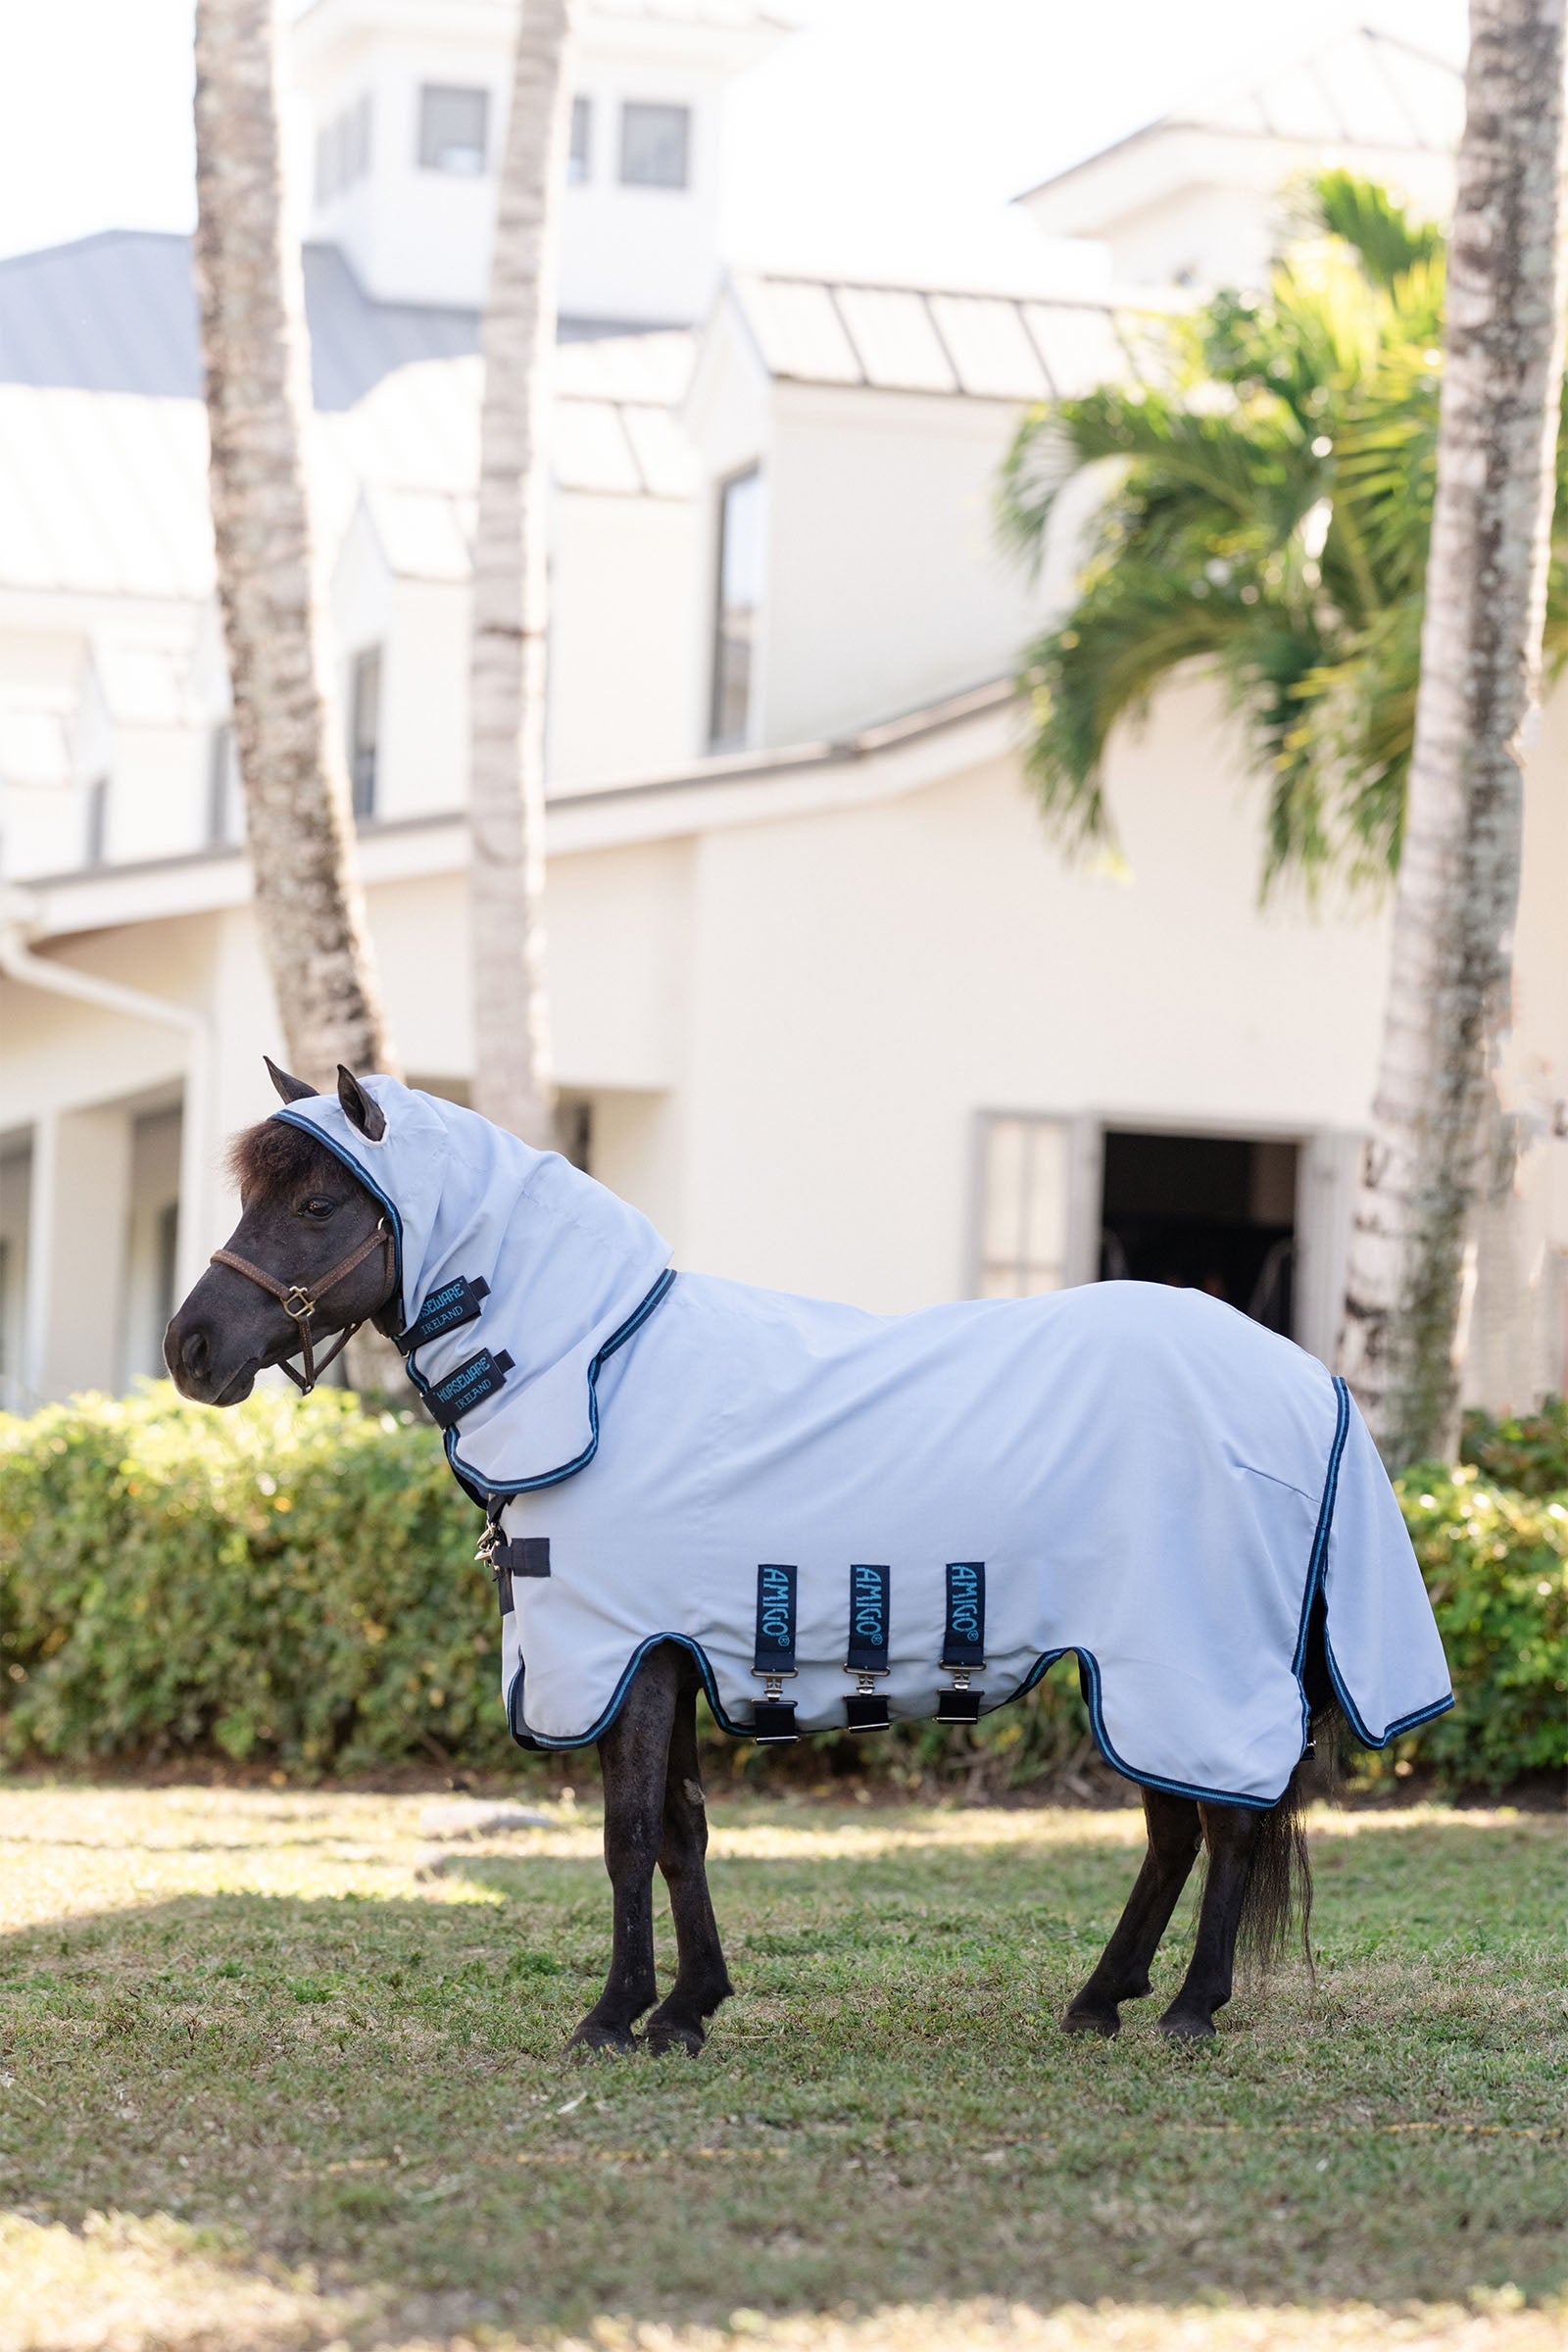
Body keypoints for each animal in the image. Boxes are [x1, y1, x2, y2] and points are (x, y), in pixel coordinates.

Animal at [165, 1060, 1452, 2053]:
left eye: (318, 1203)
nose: (191, 1349)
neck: (603, 1373)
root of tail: (1307, 1377)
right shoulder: (672, 1653)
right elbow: (680, 1831)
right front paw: (687, 2009)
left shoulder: (624, 1657)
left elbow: (628, 1836)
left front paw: (613, 2018)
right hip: (1136, 1666)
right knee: (1177, 1829)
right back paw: (1101, 2002)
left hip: (1186, 1661)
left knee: (1224, 1820)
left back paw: (1189, 2009)